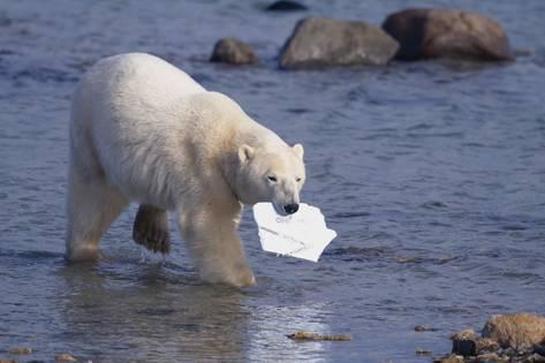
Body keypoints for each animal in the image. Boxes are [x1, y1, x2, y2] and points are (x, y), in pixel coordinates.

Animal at [66, 52, 304, 288]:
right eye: (271, 177)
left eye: (298, 178)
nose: (291, 206)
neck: (227, 134)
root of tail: (98, 65)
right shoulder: (203, 167)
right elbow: (209, 222)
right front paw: (243, 280)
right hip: (91, 133)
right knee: (93, 199)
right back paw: (85, 250)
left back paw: (153, 234)